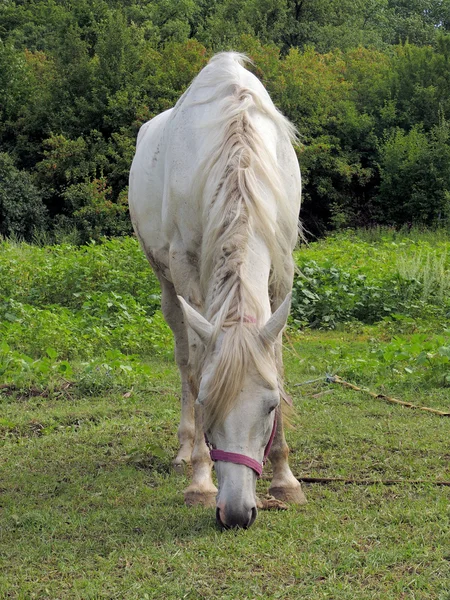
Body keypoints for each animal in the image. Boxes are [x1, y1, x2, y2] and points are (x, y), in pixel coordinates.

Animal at [128, 52, 308, 528]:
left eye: (270, 406)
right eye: (209, 404)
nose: (238, 513)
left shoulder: (282, 271)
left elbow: (276, 360)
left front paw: (285, 477)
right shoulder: (185, 272)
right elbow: (195, 365)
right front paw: (199, 482)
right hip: (165, 283)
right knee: (182, 358)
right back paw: (183, 451)